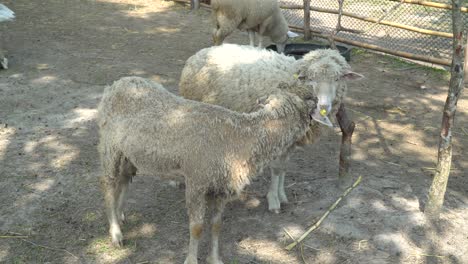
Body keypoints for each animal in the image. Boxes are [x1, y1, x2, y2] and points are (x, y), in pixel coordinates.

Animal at [98, 76, 318, 264]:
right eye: (308, 109)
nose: (307, 139)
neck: (241, 138)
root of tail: (118, 83)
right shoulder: (197, 182)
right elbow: (196, 228)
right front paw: (191, 259)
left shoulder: (221, 188)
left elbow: (216, 225)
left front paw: (214, 258)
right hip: (110, 147)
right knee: (108, 185)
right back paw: (116, 233)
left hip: (128, 154)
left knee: (124, 180)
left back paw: (120, 215)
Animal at [177, 43, 364, 212]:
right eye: (311, 78)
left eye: (338, 78)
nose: (324, 105)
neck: (293, 81)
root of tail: (200, 53)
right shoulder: (276, 133)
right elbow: (276, 168)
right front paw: (273, 200)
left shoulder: (291, 141)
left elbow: (283, 167)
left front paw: (281, 195)